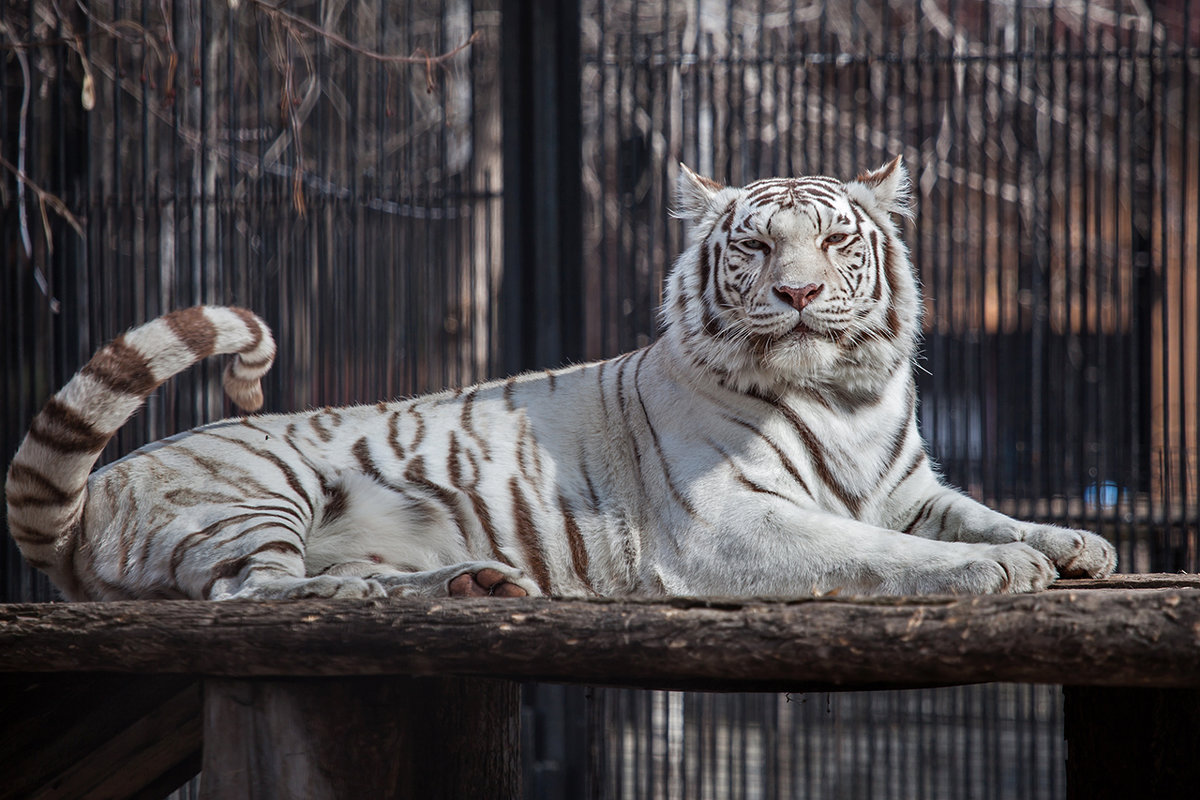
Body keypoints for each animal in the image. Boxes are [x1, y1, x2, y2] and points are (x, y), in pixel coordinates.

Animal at [7, 159, 1113, 604]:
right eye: (757, 245)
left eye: (837, 241)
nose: (798, 292)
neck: (845, 396)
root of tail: (91, 497)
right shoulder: (730, 522)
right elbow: (878, 552)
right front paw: (993, 571)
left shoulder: (909, 487)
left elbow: (983, 511)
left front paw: (1076, 544)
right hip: (256, 494)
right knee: (248, 590)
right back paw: (362, 587)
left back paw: (466, 581)